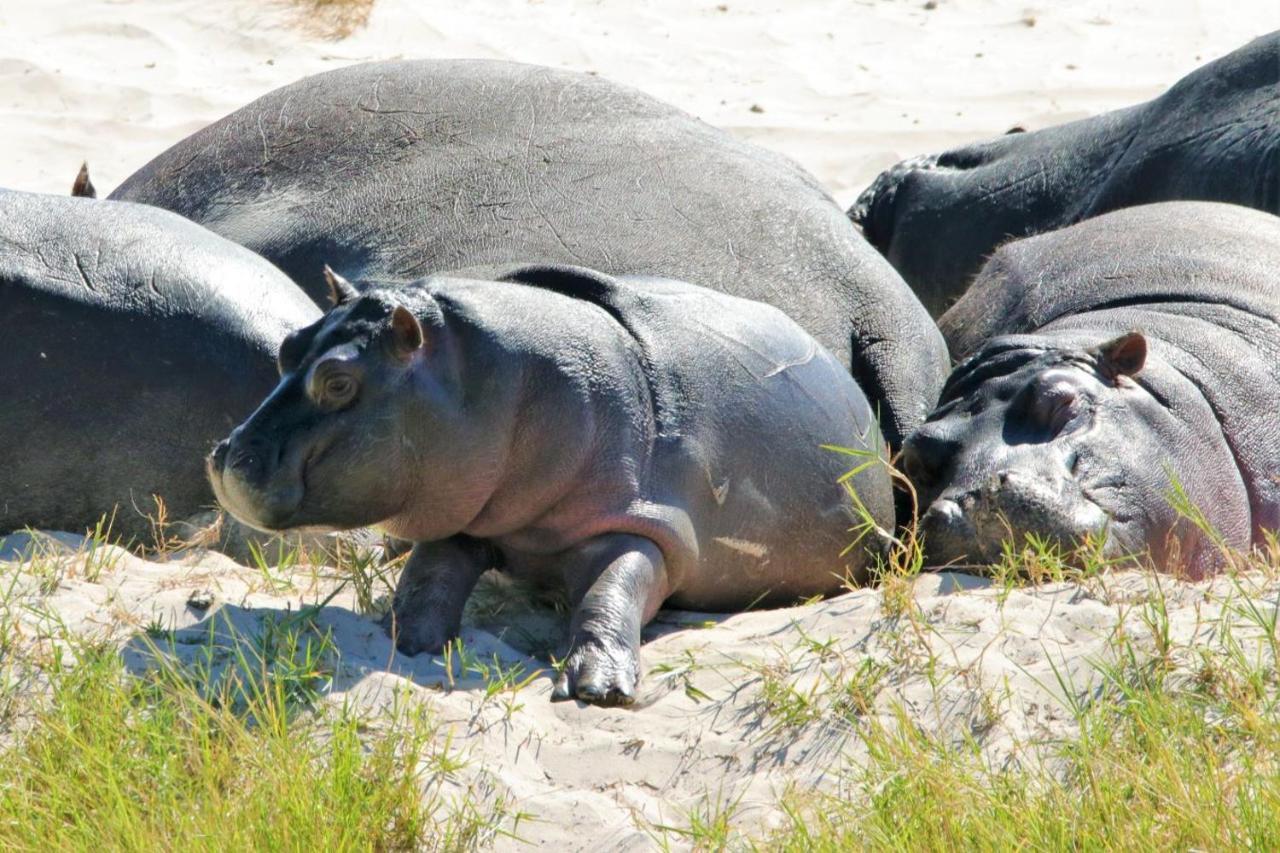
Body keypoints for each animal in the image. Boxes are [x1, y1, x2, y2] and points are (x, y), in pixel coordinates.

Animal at [207, 262, 890, 701]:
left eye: (339, 381)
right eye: (287, 348)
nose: (227, 456)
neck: (499, 382)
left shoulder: (648, 527)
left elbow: (612, 590)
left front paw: (597, 688)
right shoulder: (469, 510)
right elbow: (428, 576)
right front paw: (406, 639)